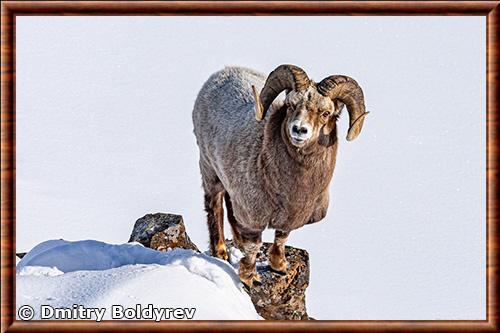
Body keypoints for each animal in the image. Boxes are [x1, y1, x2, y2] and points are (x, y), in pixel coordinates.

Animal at [191, 65, 368, 288]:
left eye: (326, 113)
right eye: (290, 105)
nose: (299, 130)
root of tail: (221, 74)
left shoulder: (290, 216)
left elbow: (281, 237)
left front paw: (279, 265)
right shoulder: (253, 217)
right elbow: (254, 246)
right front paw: (250, 278)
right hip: (209, 170)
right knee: (215, 207)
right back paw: (221, 252)